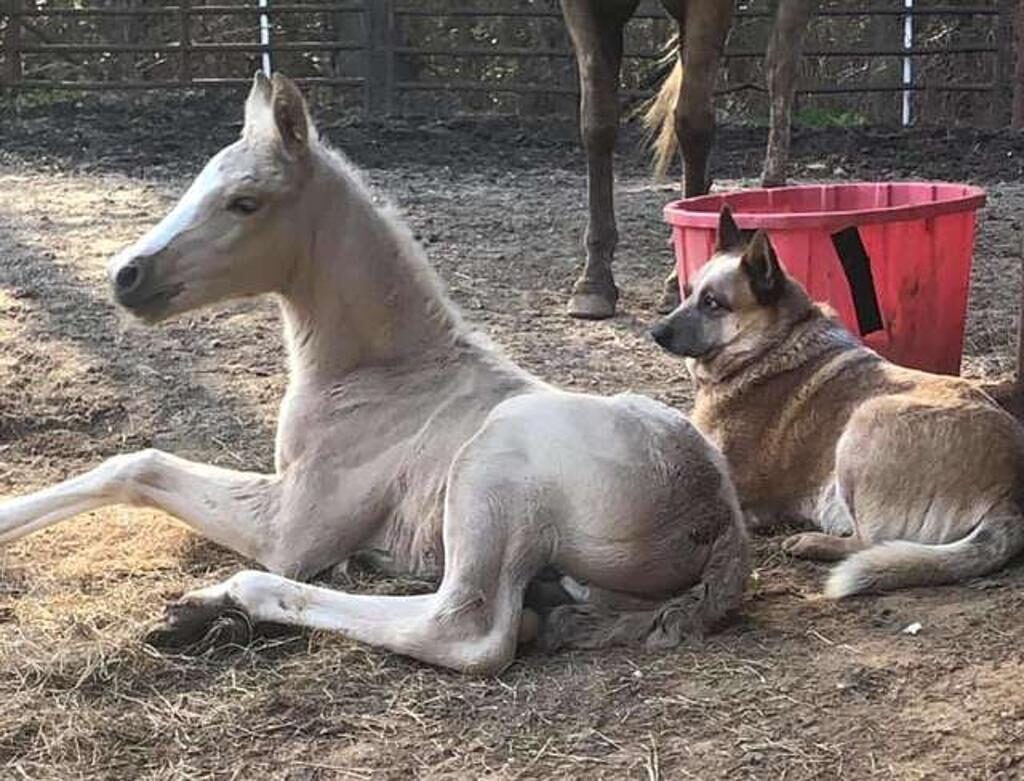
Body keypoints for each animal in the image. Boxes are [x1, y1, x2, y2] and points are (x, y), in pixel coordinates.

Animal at [0, 71, 753, 671]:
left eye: (245, 201)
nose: (125, 275)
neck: (380, 371)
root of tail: (719, 520)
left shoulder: (293, 524)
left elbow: (139, 465)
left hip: (495, 464)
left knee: (468, 630)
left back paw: (223, 600)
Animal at [561, 0, 815, 319]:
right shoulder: (588, 7)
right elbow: (598, 122)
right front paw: (593, 283)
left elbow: (691, 122)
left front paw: (676, 283)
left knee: (781, 69)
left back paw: (772, 186)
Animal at [651, 207, 1024, 597]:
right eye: (688, 292)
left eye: (712, 303)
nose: (655, 332)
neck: (770, 345)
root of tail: (1009, 495)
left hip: (866, 420)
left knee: (868, 542)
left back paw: (812, 543)